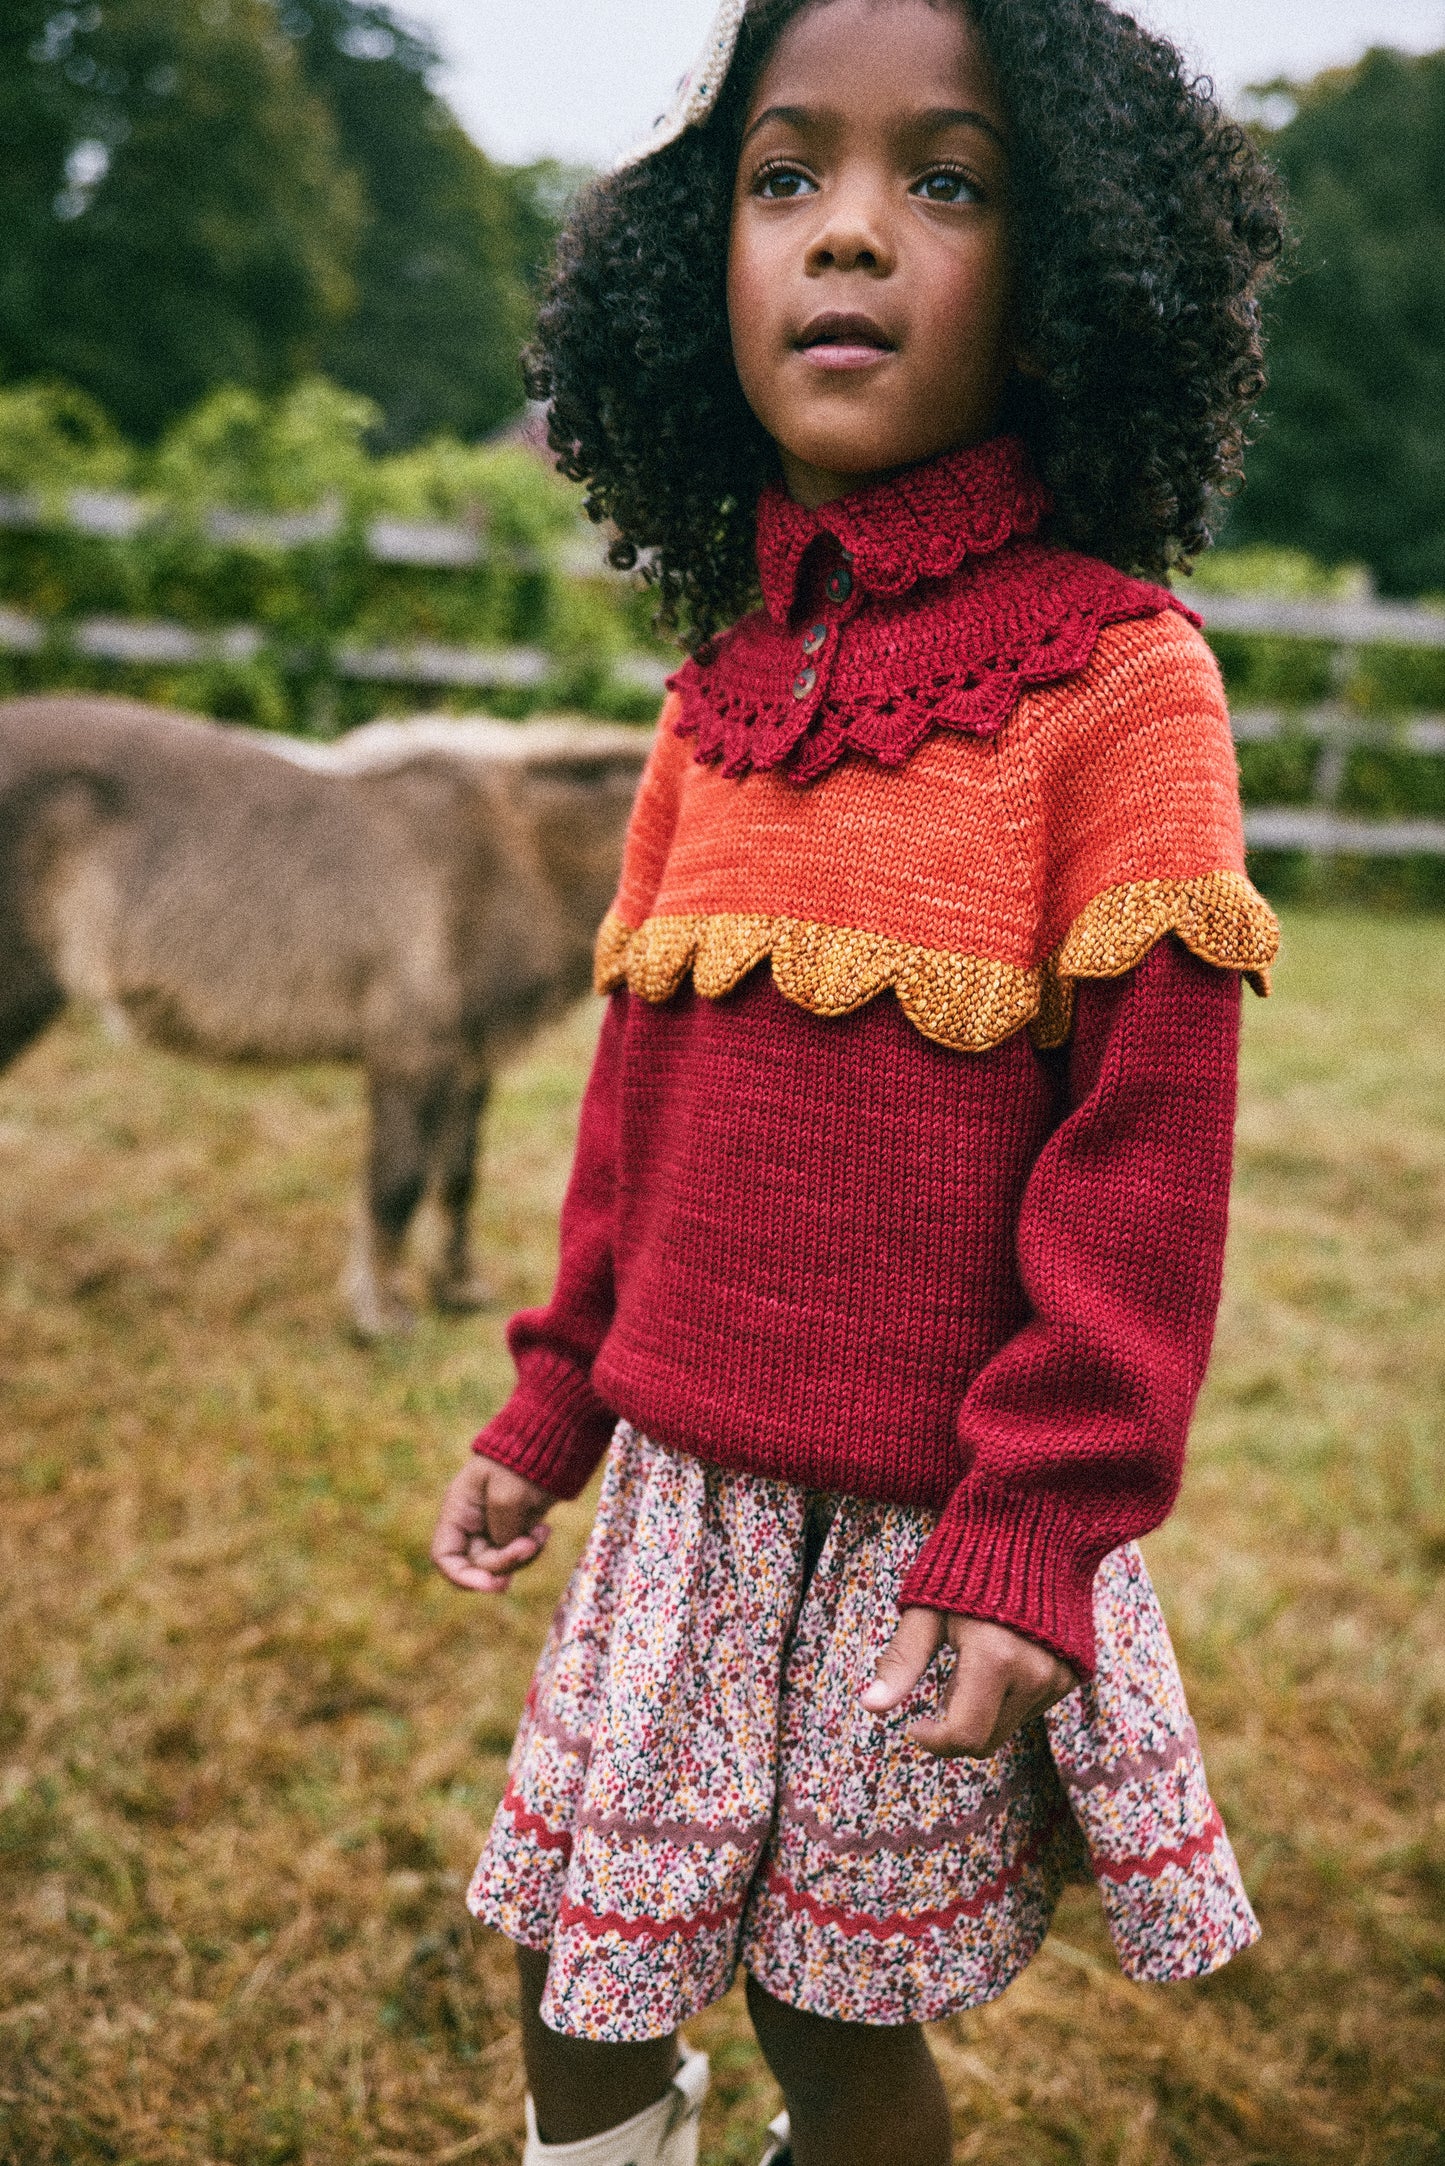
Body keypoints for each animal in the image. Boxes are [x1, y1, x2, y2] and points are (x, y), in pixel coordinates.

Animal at [0, 693, 649, 1334]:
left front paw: (458, 1291)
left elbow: (459, 1177)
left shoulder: (469, 1062)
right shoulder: (412, 1058)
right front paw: (381, 1316)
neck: (515, 859)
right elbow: (397, 1183)